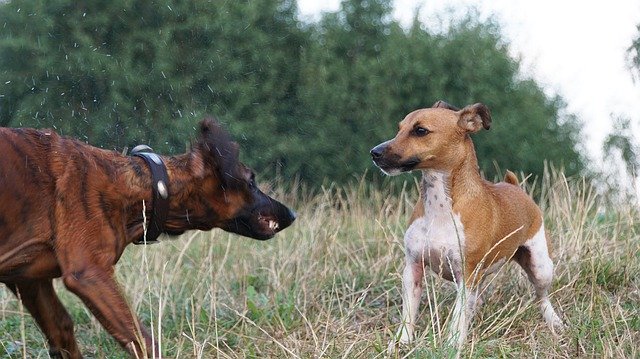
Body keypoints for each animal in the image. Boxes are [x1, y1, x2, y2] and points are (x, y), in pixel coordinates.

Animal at [0, 119, 296, 358]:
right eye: (251, 180)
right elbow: (143, 341)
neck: (144, 185)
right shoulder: (89, 274)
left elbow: (61, 330)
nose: (292, 214)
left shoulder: (29, 280)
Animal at [372, 100, 564, 348]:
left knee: (541, 296)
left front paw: (452, 345)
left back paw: (553, 321)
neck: (440, 207)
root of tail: (515, 186)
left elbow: (458, 317)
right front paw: (401, 343)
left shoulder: (467, 274)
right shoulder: (413, 268)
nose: (374, 152)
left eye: (420, 130)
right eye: (399, 128)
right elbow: (409, 314)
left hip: (541, 267)